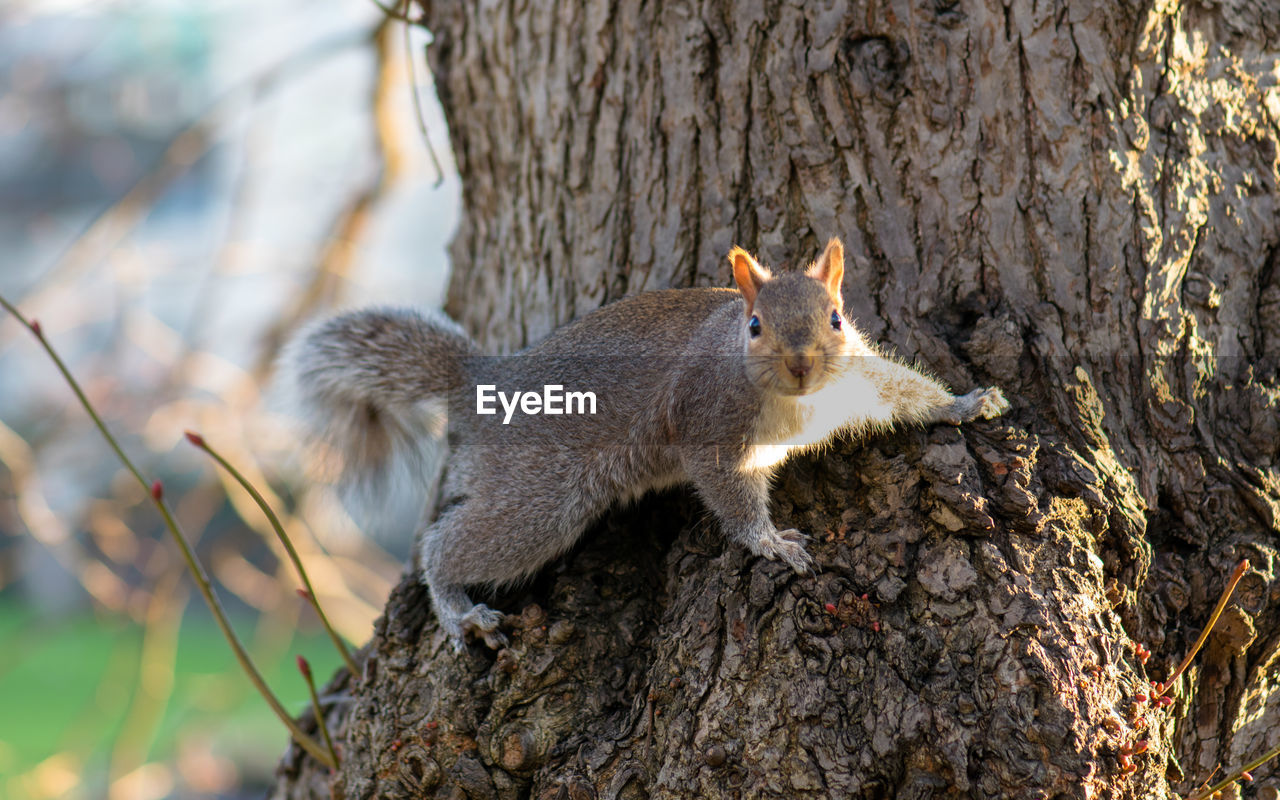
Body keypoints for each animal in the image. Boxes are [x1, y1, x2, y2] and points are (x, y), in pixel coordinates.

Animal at [288, 236, 1008, 650]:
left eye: (836, 318)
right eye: (754, 325)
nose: (803, 365)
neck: (798, 402)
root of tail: (485, 381)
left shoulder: (859, 379)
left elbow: (906, 392)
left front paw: (967, 403)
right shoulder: (706, 427)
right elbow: (729, 495)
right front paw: (769, 542)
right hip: (539, 498)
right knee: (446, 543)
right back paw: (458, 609)